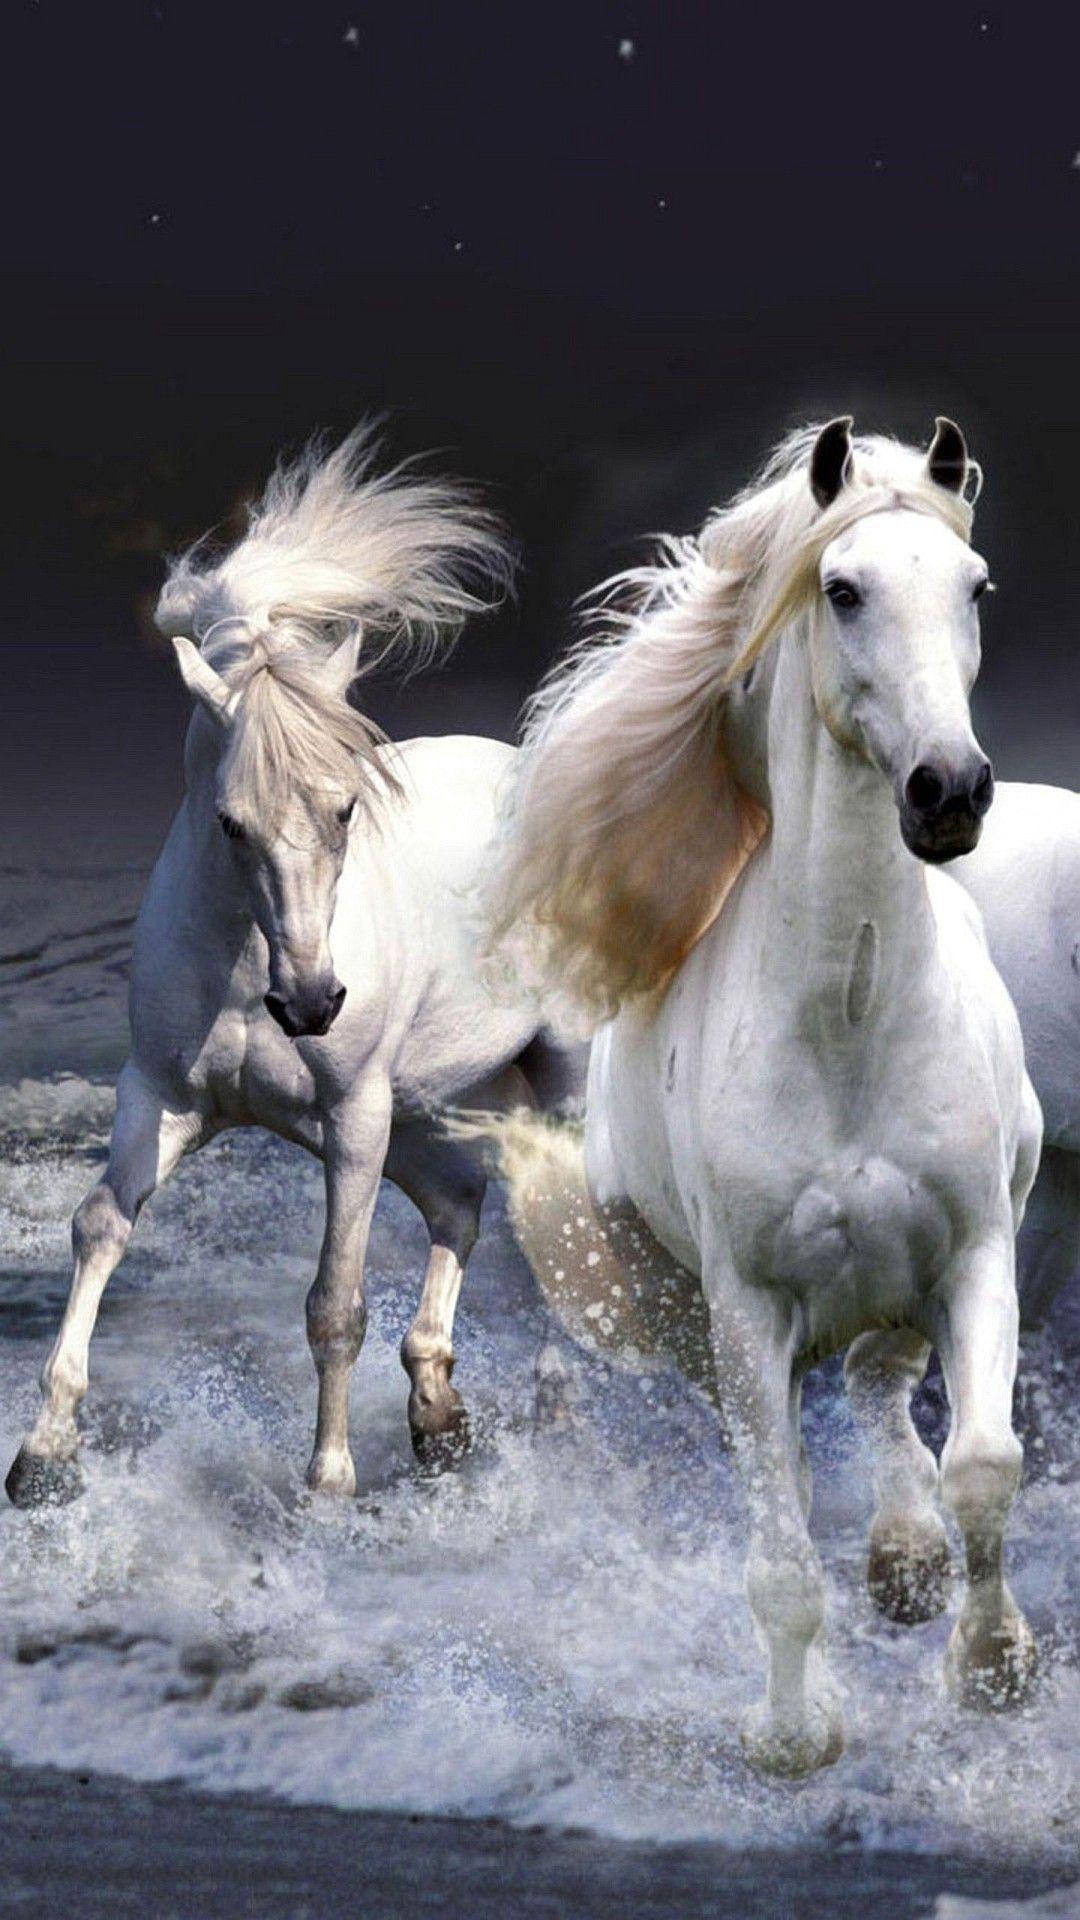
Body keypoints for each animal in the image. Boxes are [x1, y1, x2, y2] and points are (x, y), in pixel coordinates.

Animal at [5, 426, 575, 1510]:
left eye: (346, 807)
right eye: (231, 823)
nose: (311, 1004)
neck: (244, 968)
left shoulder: (351, 1115)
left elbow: (333, 1302)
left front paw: (328, 1487)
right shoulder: (164, 1097)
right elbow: (99, 1227)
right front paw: (44, 1456)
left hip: (540, 1086)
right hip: (424, 1109)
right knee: (461, 1206)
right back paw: (438, 1418)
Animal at [487, 418, 1042, 1776]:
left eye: (975, 588)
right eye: (841, 590)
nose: (948, 791)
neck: (849, 1016)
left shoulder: (975, 1250)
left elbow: (984, 1464)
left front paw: (992, 1669)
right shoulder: (748, 1311)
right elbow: (781, 1553)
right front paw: (796, 1736)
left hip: (905, 1278)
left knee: (884, 1383)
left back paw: (905, 1562)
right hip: (691, 1313)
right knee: (806, 1430)